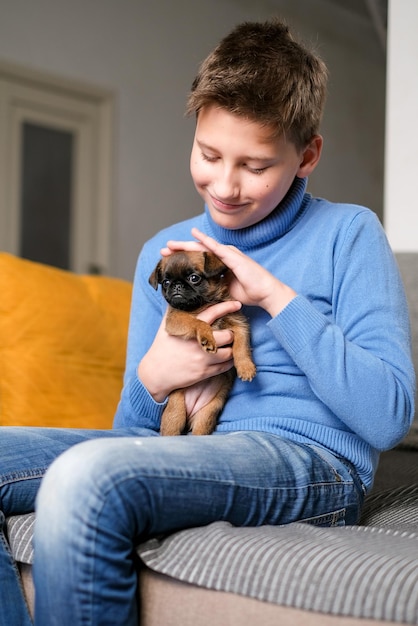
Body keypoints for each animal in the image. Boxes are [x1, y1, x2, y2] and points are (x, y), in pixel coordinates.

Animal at [149, 249, 256, 434]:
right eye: (166, 282)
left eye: (194, 278)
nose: (176, 285)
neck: (204, 304)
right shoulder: (176, 320)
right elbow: (197, 322)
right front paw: (207, 336)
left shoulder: (239, 324)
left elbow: (242, 347)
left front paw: (245, 367)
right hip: (175, 411)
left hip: (207, 413)